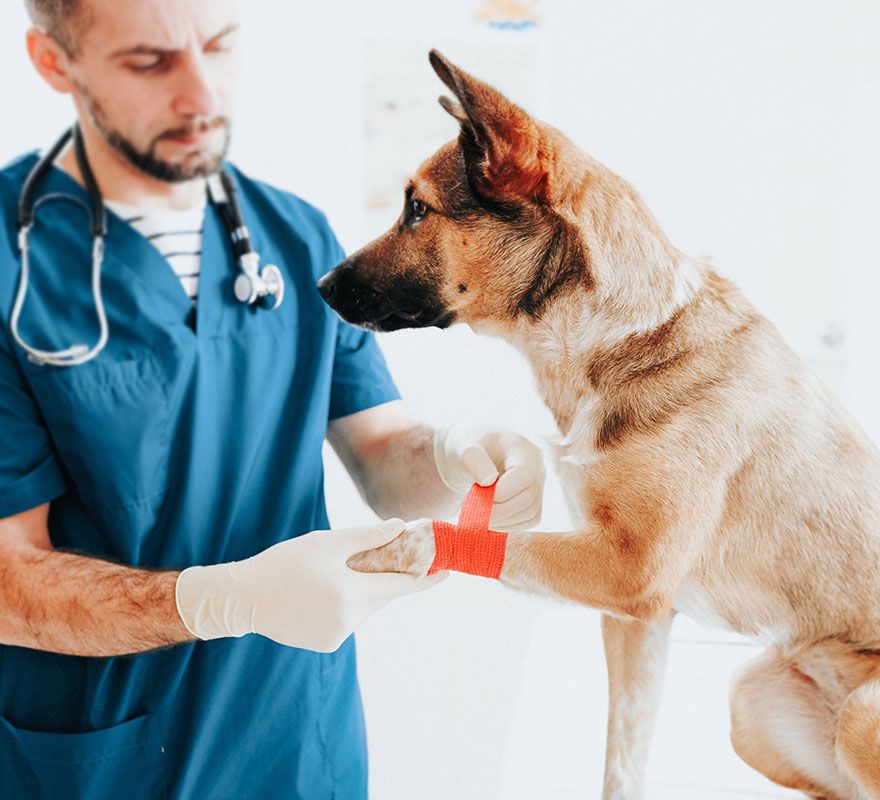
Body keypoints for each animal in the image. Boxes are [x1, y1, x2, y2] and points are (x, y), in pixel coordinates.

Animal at [316, 51, 880, 800]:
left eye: (416, 209)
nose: (319, 285)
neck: (619, 338)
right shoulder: (637, 623)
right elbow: (623, 757)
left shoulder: (630, 574)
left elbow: (494, 546)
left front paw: (404, 546)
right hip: (751, 704)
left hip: (860, 717)